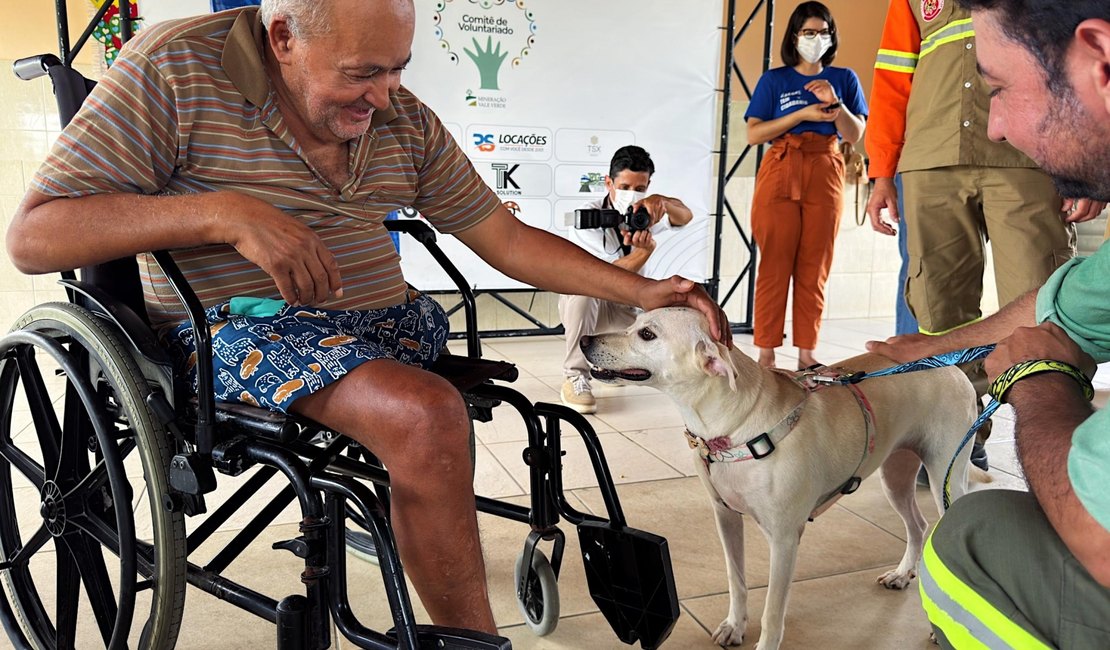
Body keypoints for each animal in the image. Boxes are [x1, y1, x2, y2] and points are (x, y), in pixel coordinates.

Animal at [581, 306, 981, 643]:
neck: (733, 424)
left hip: (946, 478)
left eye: (647, 334)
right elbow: (737, 579)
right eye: (635, 323)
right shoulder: (725, 517)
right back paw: (902, 574)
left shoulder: (785, 539)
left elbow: (773, 612)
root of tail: (951, 365)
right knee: (917, 525)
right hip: (896, 474)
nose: (585, 340)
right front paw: (735, 626)